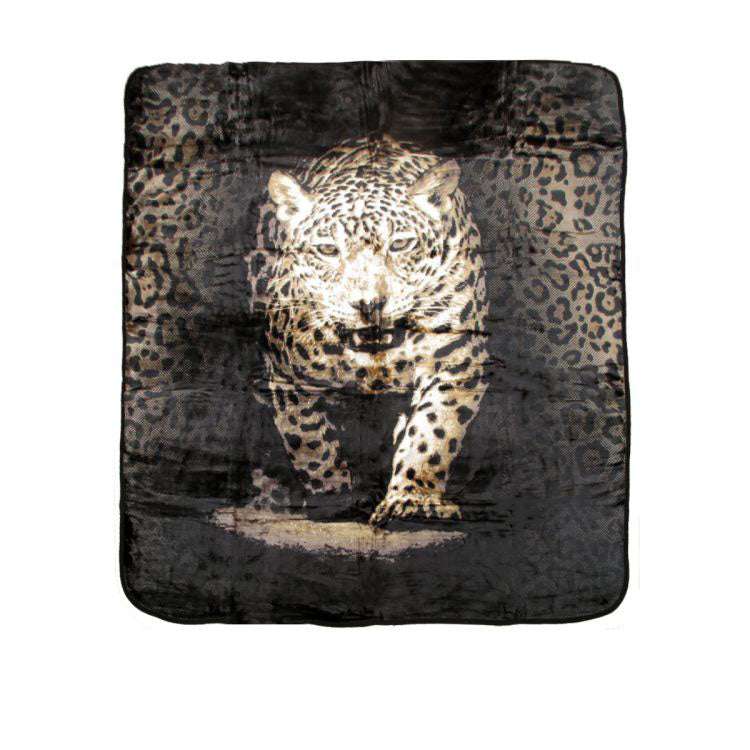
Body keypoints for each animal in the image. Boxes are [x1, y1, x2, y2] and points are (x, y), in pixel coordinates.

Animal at [250, 135, 489, 527]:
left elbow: (433, 432)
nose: (369, 304)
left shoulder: (457, 361)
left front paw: (414, 500)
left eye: (401, 244)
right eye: (328, 249)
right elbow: (309, 439)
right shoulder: (287, 374)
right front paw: (335, 496)